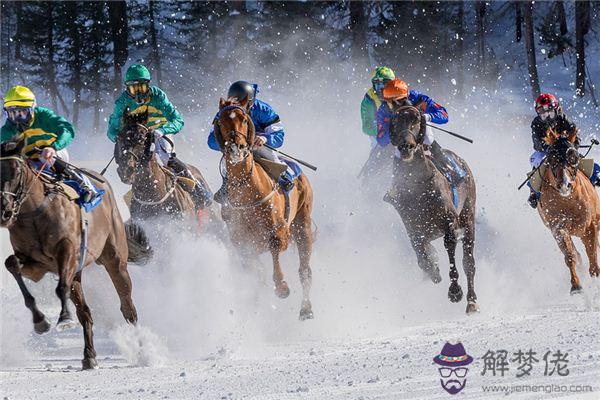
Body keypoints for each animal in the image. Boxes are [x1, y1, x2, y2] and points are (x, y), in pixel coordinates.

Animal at [0, 140, 152, 368]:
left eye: (17, 171)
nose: (4, 212)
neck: (35, 212)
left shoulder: (67, 251)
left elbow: (61, 287)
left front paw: (64, 319)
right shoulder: (36, 265)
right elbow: (12, 264)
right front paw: (40, 321)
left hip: (115, 259)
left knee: (127, 307)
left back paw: (143, 352)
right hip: (77, 273)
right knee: (85, 312)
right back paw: (89, 355)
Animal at [212, 98, 314, 320]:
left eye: (243, 119)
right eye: (221, 121)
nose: (236, 148)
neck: (247, 190)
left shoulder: (280, 230)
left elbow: (275, 247)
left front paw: (282, 287)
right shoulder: (241, 241)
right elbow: (254, 272)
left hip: (303, 223)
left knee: (305, 270)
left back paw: (306, 309)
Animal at [384, 104, 478, 316]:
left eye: (417, 119)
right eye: (395, 121)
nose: (406, 146)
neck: (418, 187)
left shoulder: (450, 224)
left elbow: (451, 252)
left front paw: (455, 291)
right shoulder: (413, 228)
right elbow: (422, 257)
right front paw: (434, 270)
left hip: (468, 217)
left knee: (468, 262)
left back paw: (471, 301)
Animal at [536, 129, 600, 294]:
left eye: (573, 157)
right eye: (552, 158)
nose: (565, 185)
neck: (568, 202)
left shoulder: (589, 226)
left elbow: (592, 253)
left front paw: (595, 276)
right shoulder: (558, 228)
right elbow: (570, 256)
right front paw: (576, 286)